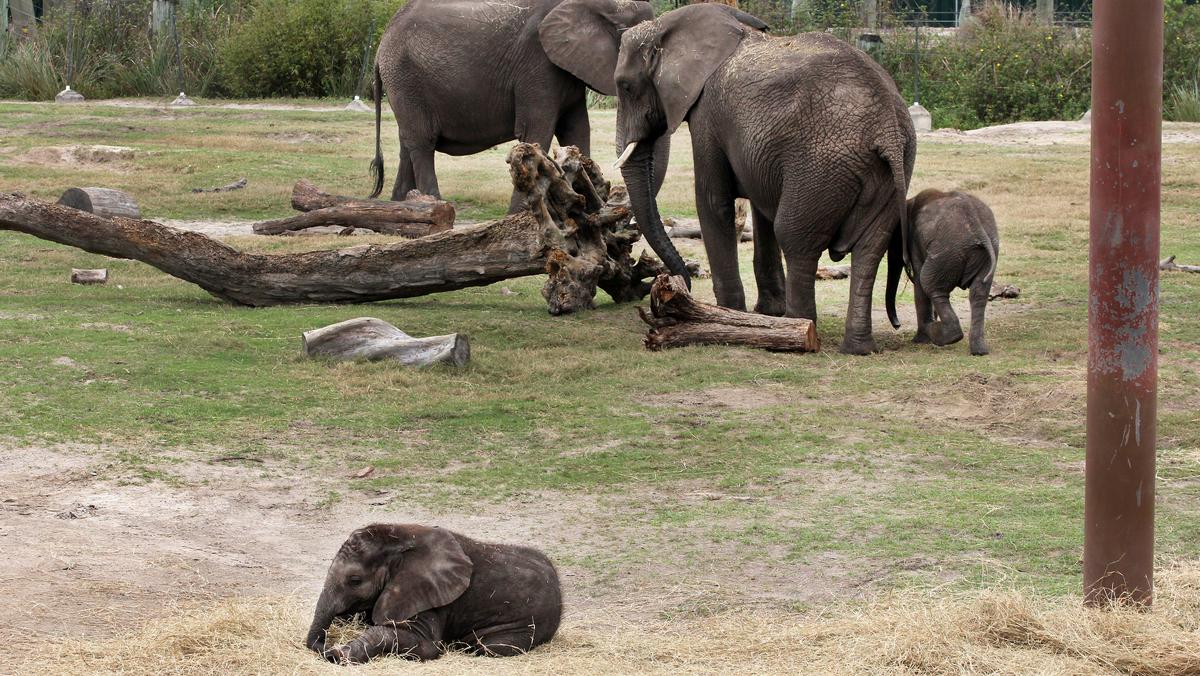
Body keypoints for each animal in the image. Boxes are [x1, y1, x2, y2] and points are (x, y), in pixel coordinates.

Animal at [304, 525, 556, 662]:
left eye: (355, 580)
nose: (325, 647)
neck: (401, 537)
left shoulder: (426, 595)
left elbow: (426, 646)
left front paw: (339, 655)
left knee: (490, 647)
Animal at [614, 5, 912, 355]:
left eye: (626, 86)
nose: (675, 285)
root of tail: (887, 127)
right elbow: (760, 208)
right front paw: (763, 312)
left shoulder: (708, 114)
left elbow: (713, 203)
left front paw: (728, 314)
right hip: (890, 171)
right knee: (869, 249)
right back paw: (857, 347)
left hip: (820, 166)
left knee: (795, 237)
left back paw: (798, 330)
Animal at [907, 184, 1003, 355]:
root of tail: (976, 227)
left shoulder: (915, 240)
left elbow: (918, 280)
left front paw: (920, 341)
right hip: (985, 251)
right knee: (979, 293)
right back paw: (979, 351)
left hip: (947, 252)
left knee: (930, 285)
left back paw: (936, 332)